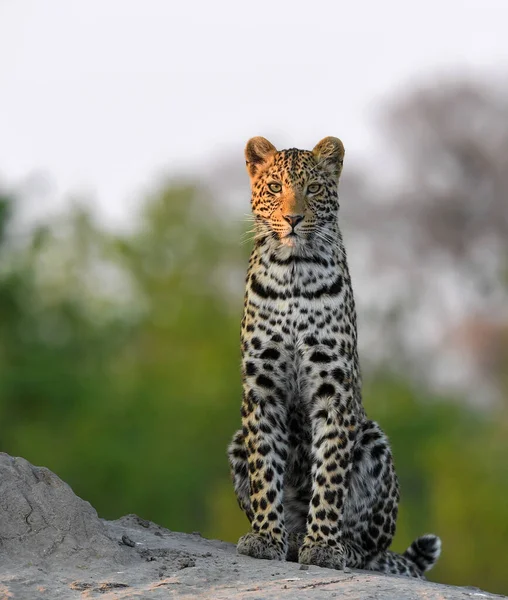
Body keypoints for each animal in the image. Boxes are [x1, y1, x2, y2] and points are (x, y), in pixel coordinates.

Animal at [227, 136, 440, 576]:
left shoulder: (333, 387)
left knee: (371, 548)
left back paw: (342, 547)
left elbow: (329, 473)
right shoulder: (262, 386)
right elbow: (265, 468)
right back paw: (291, 538)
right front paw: (266, 537)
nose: (293, 218)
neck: (292, 270)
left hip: (374, 441)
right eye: (275, 187)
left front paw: (324, 545)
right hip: (237, 441)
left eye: (312, 189)